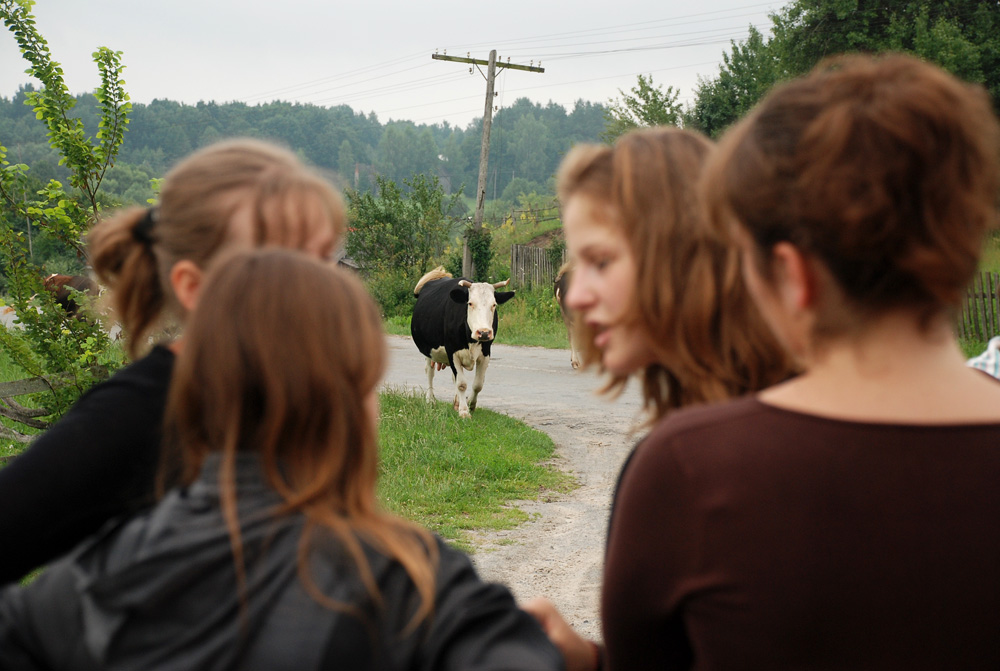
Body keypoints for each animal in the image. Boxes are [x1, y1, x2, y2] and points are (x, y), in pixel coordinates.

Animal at [408, 266, 516, 414]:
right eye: (470, 303)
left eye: (494, 305)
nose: (483, 332)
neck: (471, 341)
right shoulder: (452, 351)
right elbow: (462, 384)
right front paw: (464, 411)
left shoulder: (486, 352)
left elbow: (477, 384)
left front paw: (470, 404)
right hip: (428, 350)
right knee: (429, 372)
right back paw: (430, 400)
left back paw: (456, 402)